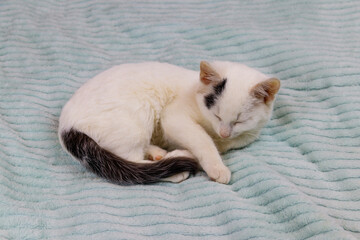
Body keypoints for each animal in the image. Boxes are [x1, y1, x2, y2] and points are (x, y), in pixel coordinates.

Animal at [57, 61, 280, 185]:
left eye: (240, 120)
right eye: (216, 115)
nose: (224, 133)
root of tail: (65, 126)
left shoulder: (247, 135)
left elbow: (228, 141)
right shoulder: (173, 117)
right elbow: (202, 140)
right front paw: (216, 166)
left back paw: (159, 153)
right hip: (136, 119)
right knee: (131, 164)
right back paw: (174, 166)